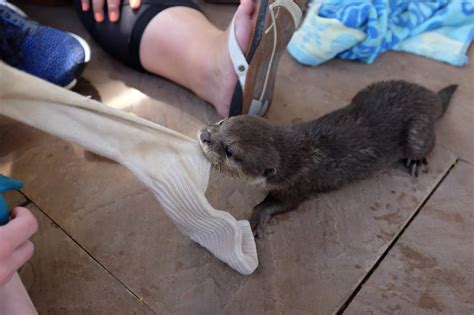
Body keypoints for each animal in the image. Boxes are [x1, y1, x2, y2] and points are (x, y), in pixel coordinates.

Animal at [197, 80, 456, 238]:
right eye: (222, 122)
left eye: (230, 151)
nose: (204, 134)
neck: (298, 154)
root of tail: (429, 97)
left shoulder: (296, 185)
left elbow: (279, 204)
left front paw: (256, 218)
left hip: (417, 132)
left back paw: (418, 162)